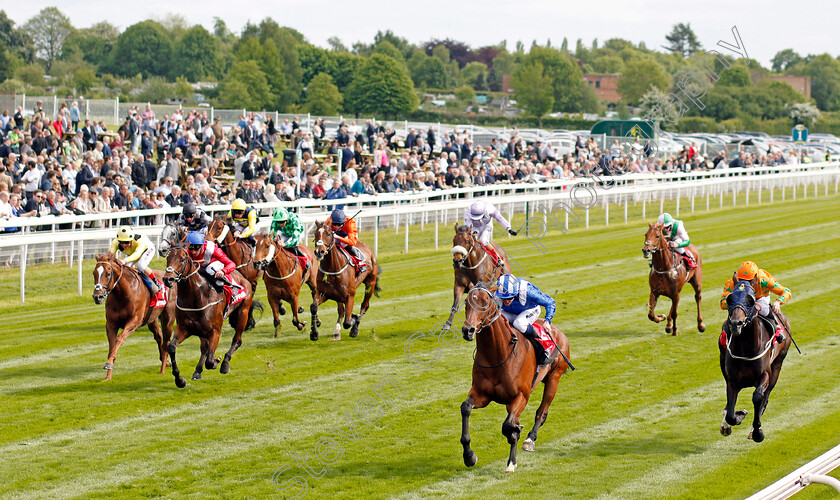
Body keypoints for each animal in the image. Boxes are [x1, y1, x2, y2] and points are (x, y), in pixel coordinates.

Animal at [92, 252, 175, 380]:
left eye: (108, 274)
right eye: (94, 273)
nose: (98, 297)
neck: (122, 294)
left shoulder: (134, 322)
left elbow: (119, 339)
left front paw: (109, 363)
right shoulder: (111, 324)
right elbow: (112, 344)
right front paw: (108, 375)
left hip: (168, 318)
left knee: (166, 340)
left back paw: (162, 370)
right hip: (152, 319)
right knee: (158, 336)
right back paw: (165, 362)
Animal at [161, 245, 260, 386]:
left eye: (182, 259)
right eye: (168, 258)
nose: (167, 279)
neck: (196, 295)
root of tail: (243, 278)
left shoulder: (215, 331)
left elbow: (209, 361)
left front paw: (216, 361)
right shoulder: (184, 328)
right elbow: (171, 347)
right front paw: (180, 379)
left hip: (243, 313)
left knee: (237, 340)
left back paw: (225, 364)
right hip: (202, 331)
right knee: (204, 348)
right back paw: (197, 371)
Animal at [460, 286, 572, 472]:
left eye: (485, 302)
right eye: (466, 303)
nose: (468, 330)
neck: (497, 355)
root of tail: (559, 332)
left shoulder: (521, 395)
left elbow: (508, 425)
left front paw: (511, 460)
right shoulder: (482, 394)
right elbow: (466, 408)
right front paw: (469, 456)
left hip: (554, 378)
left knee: (542, 412)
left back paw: (530, 439)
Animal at [720, 280, 792, 444]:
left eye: (751, 300)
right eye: (730, 298)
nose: (736, 323)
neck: (746, 350)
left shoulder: (765, 374)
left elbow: (758, 397)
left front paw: (757, 432)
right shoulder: (732, 380)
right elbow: (731, 412)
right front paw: (736, 416)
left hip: (778, 364)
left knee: (766, 396)